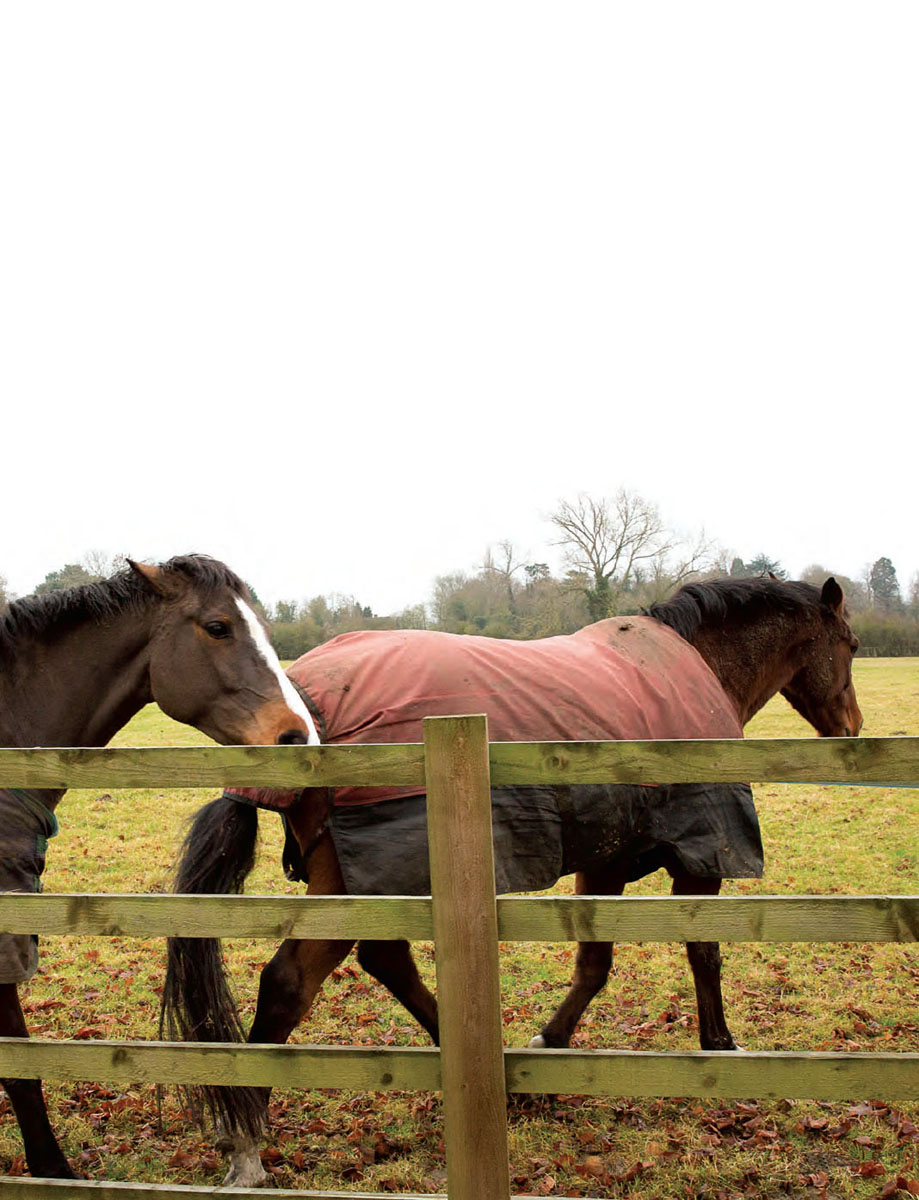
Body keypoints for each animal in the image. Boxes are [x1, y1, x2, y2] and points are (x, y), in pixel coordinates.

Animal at [163, 576, 863, 1185]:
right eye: (852, 645)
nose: (852, 728)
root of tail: (297, 708)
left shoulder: (602, 861)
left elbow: (597, 965)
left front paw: (549, 1043)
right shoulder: (694, 859)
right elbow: (695, 954)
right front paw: (717, 1044)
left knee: (386, 962)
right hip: (352, 887)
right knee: (289, 983)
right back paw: (247, 1138)